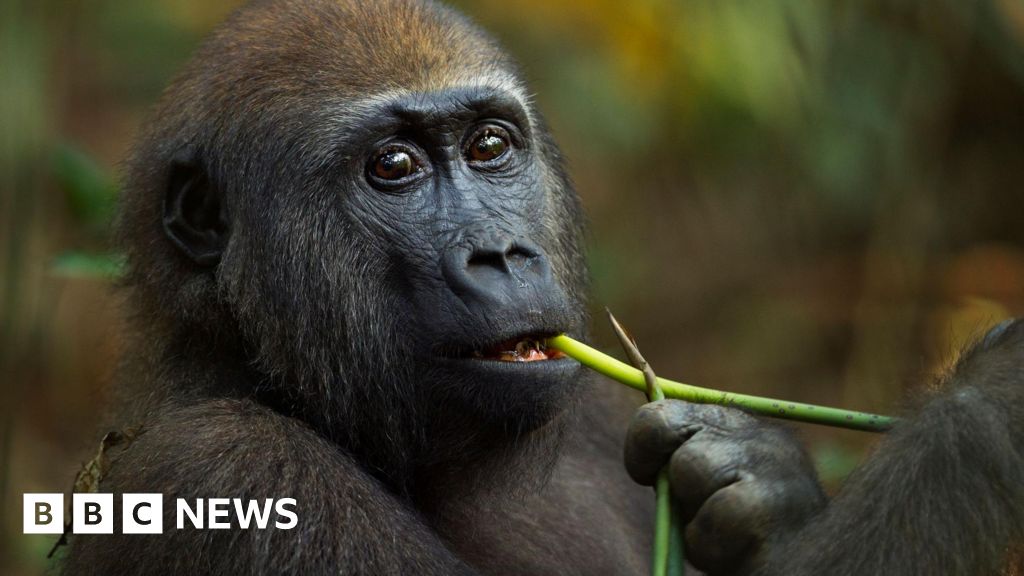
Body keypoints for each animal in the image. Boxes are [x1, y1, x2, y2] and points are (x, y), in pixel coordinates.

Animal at [66, 1, 1024, 573]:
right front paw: (988, 410)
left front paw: (759, 482)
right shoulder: (227, 472)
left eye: (490, 146)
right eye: (394, 168)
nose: (503, 253)